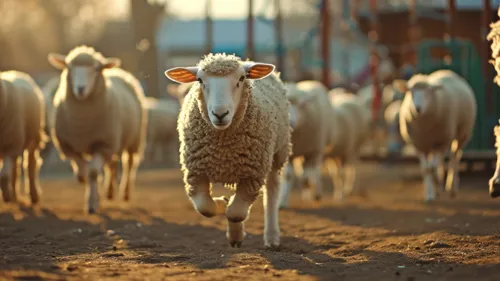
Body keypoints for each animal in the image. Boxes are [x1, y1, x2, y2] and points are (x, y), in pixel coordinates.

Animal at [0, 70, 47, 203]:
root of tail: (15, 72)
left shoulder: (10, 146)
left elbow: (3, 175)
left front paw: (7, 196)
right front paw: (8, 195)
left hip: (31, 140)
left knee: (31, 165)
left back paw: (33, 195)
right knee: (15, 170)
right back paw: (14, 195)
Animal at [47, 45, 147, 212]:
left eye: (95, 69)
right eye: (69, 67)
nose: (80, 89)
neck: (82, 123)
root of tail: (117, 71)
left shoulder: (103, 144)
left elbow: (93, 172)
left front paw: (92, 204)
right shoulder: (68, 146)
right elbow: (84, 171)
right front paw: (90, 191)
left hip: (133, 140)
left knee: (129, 164)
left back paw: (125, 193)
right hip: (114, 142)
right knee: (111, 165)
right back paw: (109, 193)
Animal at [164, 52, 292, 247]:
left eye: (241, 79)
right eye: (200, 80)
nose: (220, 114)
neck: (223, 146)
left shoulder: (252, 175)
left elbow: (236, 213)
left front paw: (235, 231)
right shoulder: (196, 171)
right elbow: (206, 208)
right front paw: (222, 204)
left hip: (277, 153)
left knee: (272, 192)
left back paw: (272, 236)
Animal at [394, 69, 476, 201]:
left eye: (428, 92)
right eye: (411, 92)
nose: (417, 109)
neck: (424, 127)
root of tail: (447, 71)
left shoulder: (441, 142)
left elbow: (432, 168)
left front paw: (437, 182)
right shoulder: (419, 145)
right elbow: (426, 169)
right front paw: (429, 194)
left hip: (461, 134)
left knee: (454, 157)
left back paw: (451, 188)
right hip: (432, 144)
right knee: (439, 163)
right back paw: (438, 187)